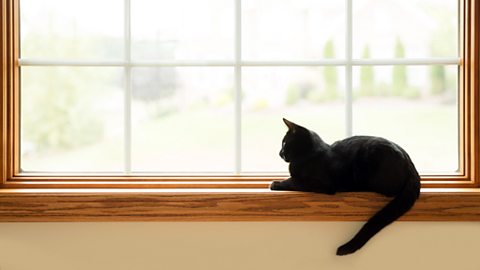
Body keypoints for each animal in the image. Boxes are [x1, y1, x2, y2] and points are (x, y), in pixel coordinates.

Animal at [270, 118, 420, 255]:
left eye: (284, 143)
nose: (279, 153)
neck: (309, 154)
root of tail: (410, 163)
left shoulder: (319, 183)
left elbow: (294, 181)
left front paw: (275, 183)